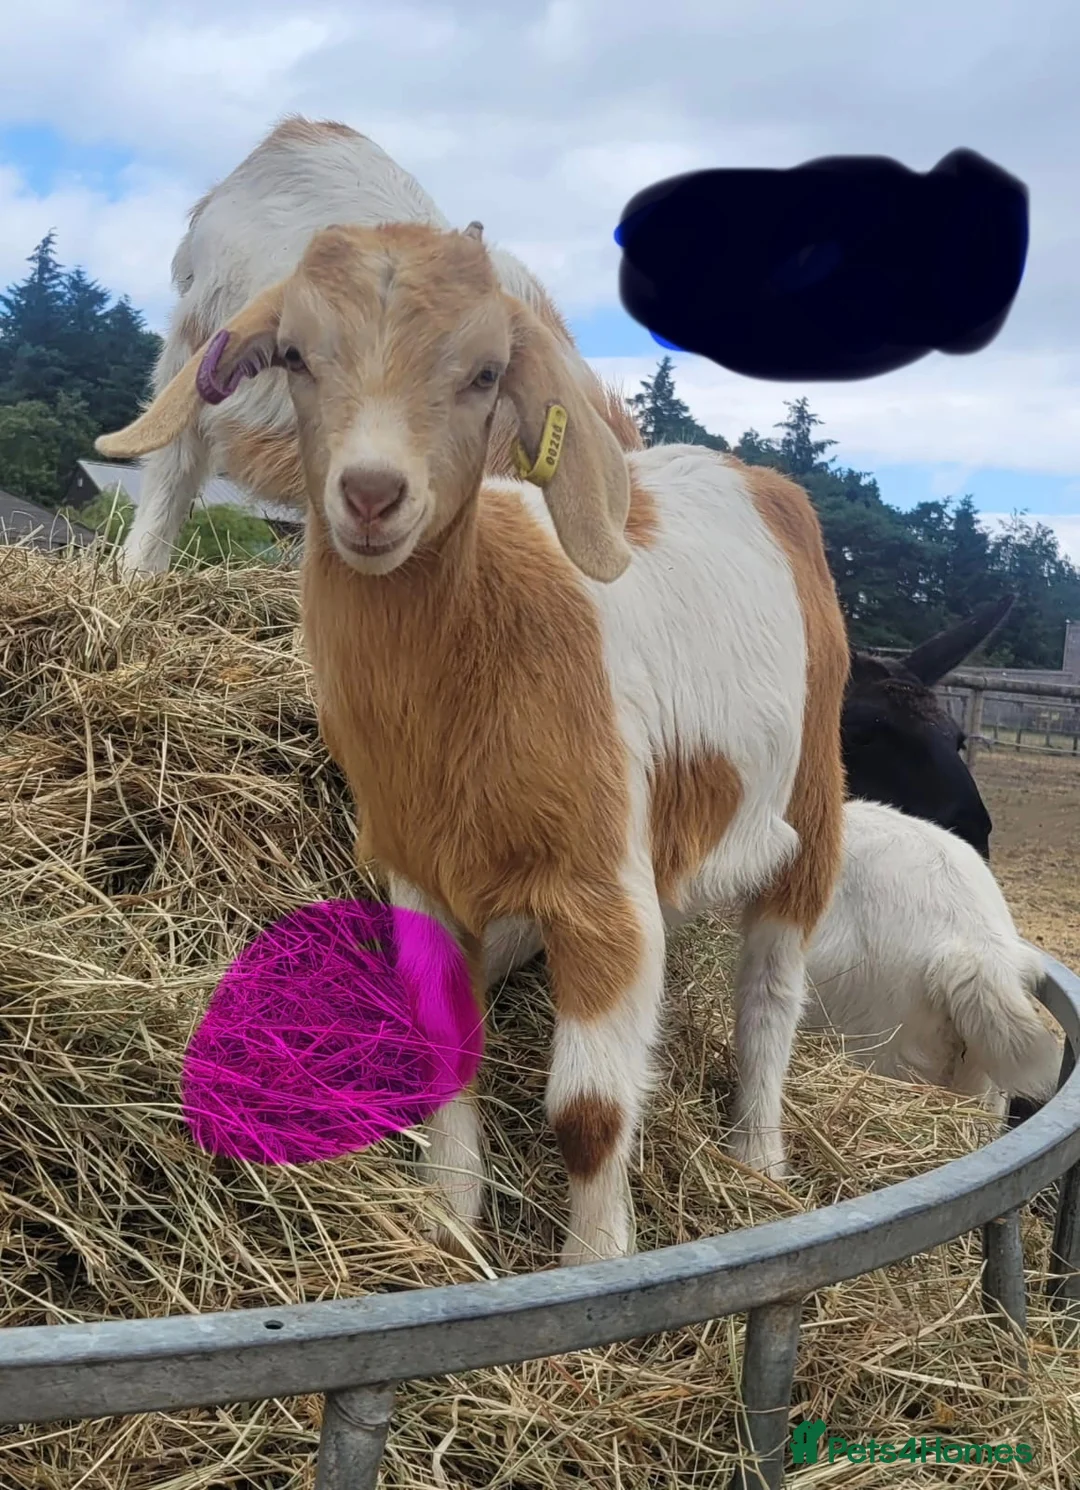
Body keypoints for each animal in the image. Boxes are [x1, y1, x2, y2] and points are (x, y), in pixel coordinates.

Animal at [96, 220, 849, 1266]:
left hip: (811, 801)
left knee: (773, 988)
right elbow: (445, 1053)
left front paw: (594, 1264)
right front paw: (449, 1222)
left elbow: (590, 1111)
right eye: (295, 355)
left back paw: (759, 1156)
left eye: (486, 373)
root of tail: (746, 472)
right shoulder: (420, 876)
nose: (373, 494)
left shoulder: (604, 894)